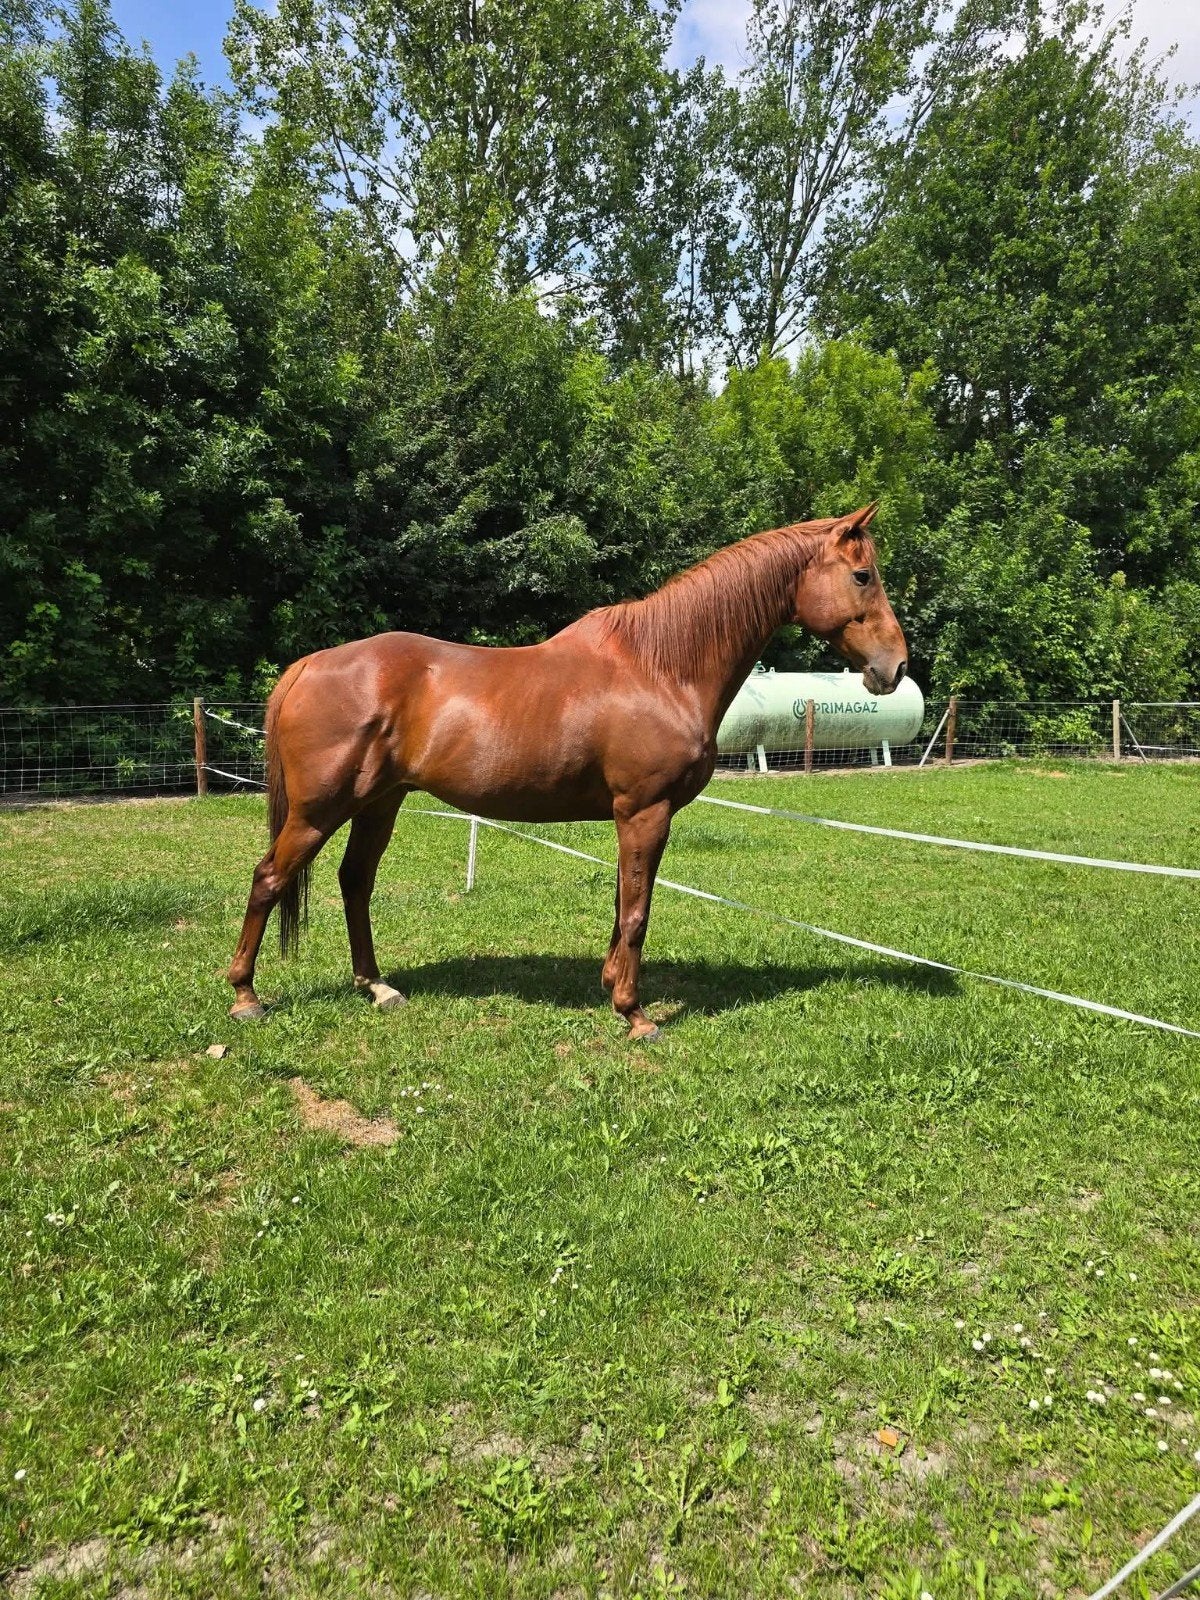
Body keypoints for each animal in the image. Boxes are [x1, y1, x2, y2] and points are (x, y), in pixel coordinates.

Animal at [227, 503, 907, 1040]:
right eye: (863, 575)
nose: (895, 667)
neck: (661, 667)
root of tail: (310, 665)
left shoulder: (632, 817)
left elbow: (624, 901)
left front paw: (611, 986)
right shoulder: (645, 811)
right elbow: (636, 912)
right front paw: (635, 1015)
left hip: (380, 803)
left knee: (354, 882)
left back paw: (376, 987)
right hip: (319, 810)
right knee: (268, 879)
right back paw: (246, 997)